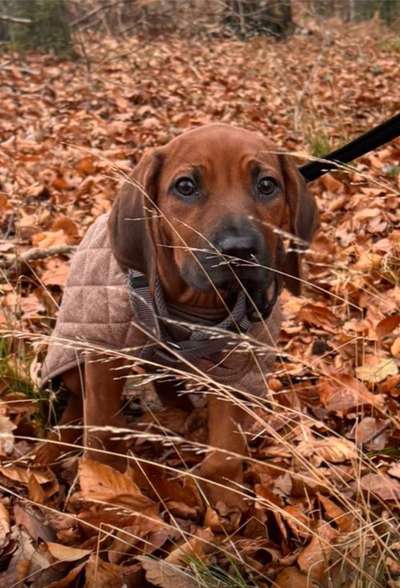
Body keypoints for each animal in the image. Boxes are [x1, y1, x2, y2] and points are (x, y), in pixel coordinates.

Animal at [38, 124, 318, 510]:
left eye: (267, 185)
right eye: (185, 186)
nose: (239, 251)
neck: (197, 307)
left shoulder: (239, 368)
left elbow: (226, 450)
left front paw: (225, 500)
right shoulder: (104, 353)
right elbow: (100, 429)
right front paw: (103, 487)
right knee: (78, 401)